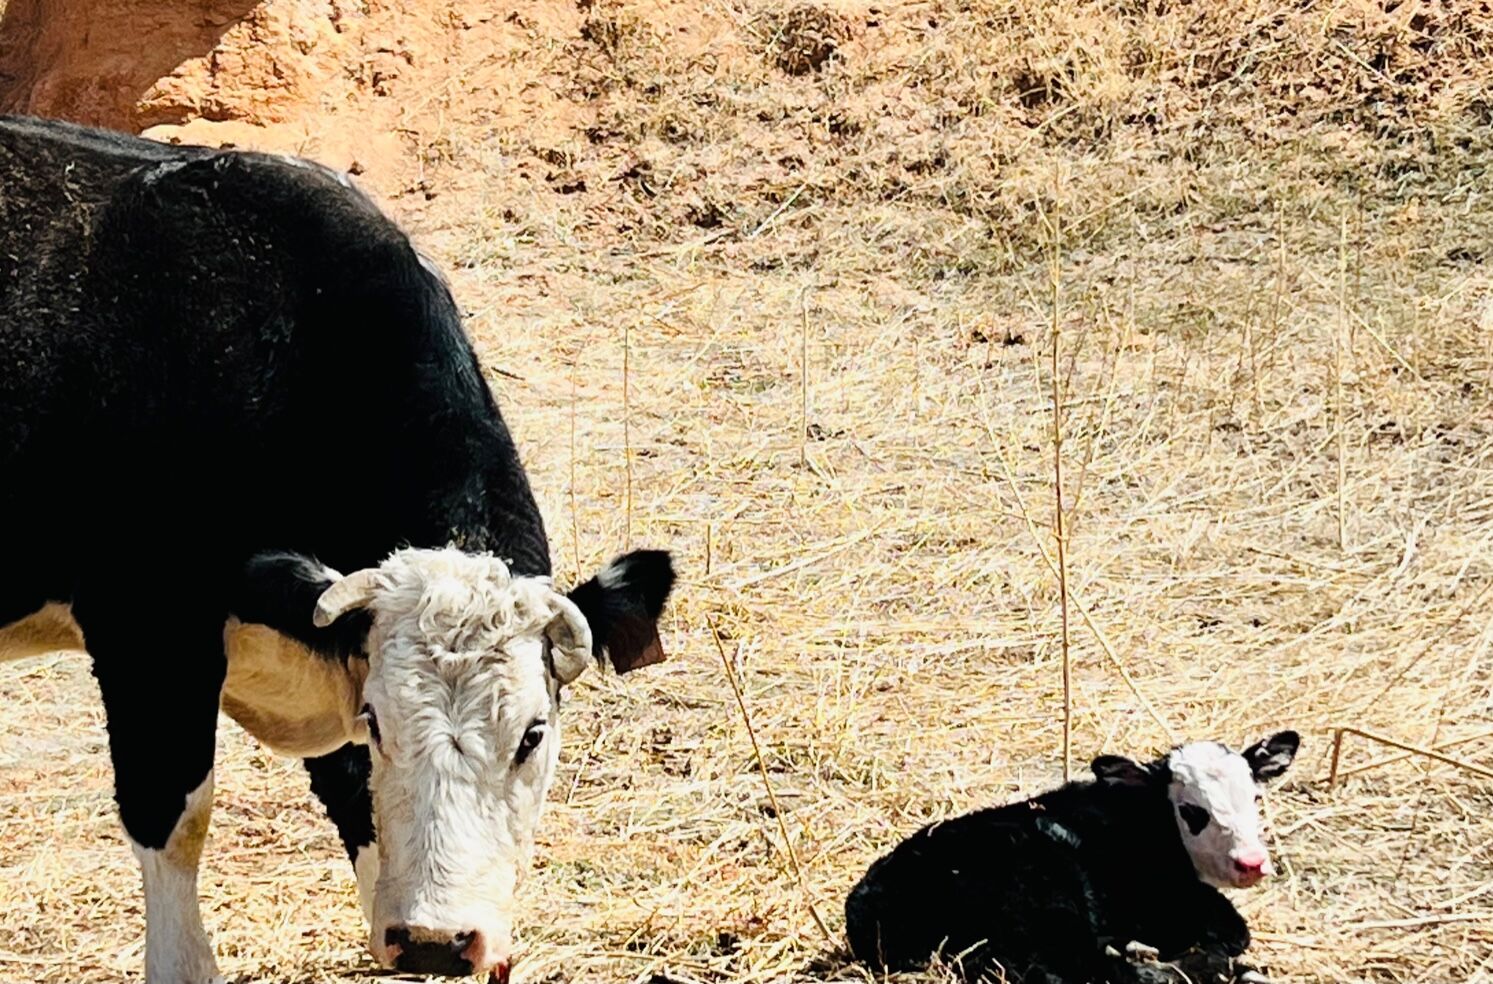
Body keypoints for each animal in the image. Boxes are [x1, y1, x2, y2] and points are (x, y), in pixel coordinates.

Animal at [0, 114, 676, 984]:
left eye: (533, 733)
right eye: (379, 721)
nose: (441, 939)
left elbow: (358, 805)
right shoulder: (146, 628)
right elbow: (174, 817)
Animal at [844, 732, 1300, 983]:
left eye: (1254, 797)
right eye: (1191, 811)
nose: (1251, 862)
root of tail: (868, 902)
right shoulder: (1170, 904)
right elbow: (1235, 931)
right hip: (1043, 910)